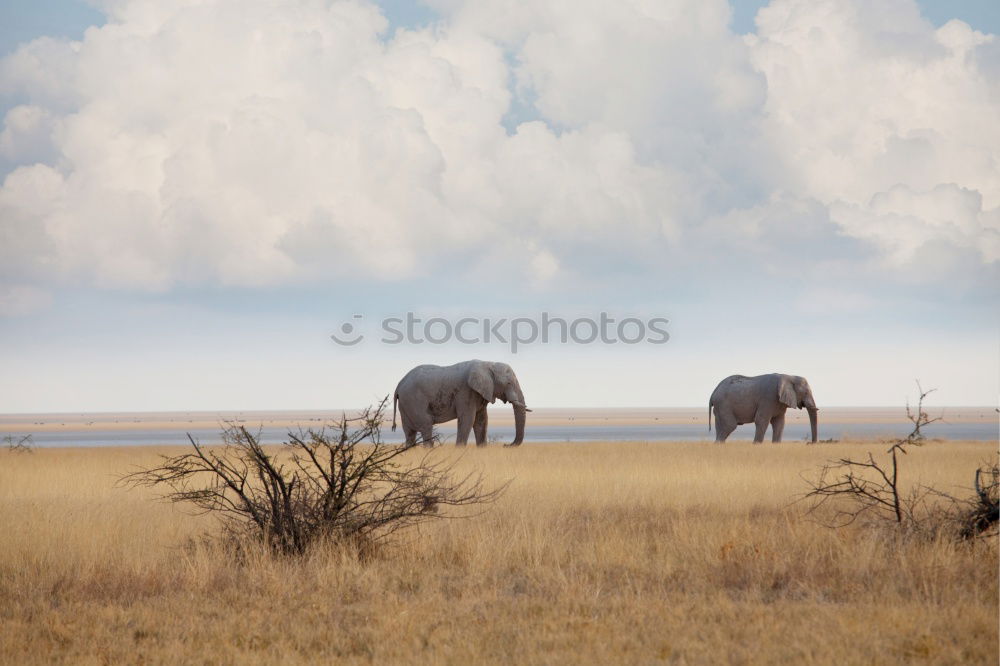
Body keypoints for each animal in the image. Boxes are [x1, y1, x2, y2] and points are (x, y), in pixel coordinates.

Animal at [392, 358, 532, 446]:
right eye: (508, 383)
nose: (505, 445)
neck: (487, 364)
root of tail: (399, 384)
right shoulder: (466, 392)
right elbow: (468, 419)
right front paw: (459, 449)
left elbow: (482, 421)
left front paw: (482, 449)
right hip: (413, 400)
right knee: (426, 424)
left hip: (405, 403)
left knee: (409, 432)